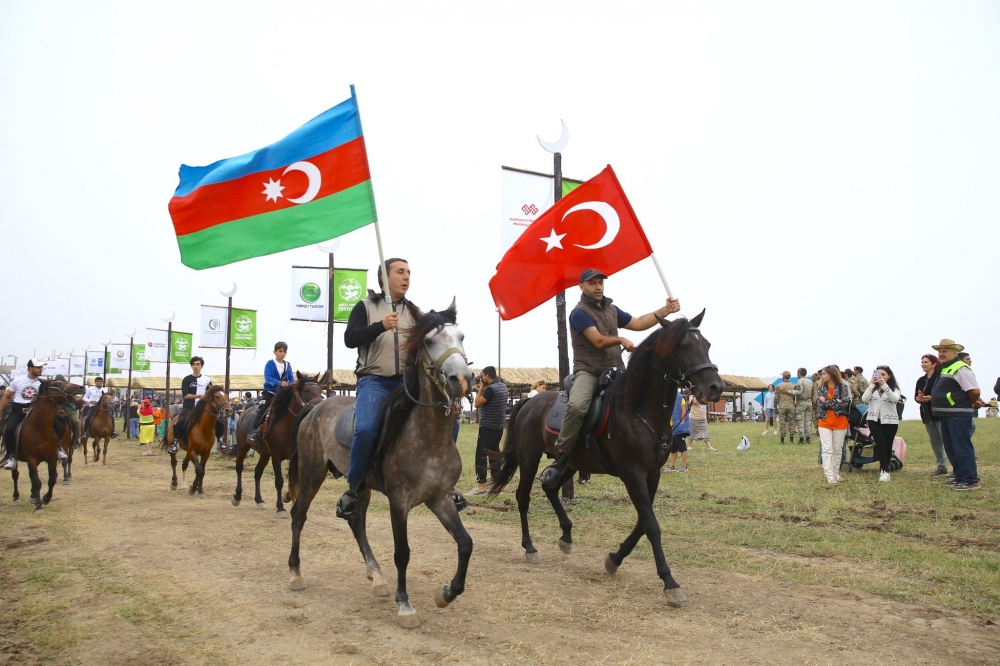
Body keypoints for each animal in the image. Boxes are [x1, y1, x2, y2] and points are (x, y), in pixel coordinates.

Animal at [9, 378, 80, 508]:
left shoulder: (53, 455)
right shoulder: (31, 458)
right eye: (57, 384)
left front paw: (46, 498)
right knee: (15, 474)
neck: (39, 428)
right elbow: (37, 481)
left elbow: (52, 478)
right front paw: (38, 505)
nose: (81, 388)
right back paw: (16, 497)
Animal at [231, 370, 322, 516]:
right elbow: (279, 481)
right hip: (243, 446)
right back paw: (237, 496)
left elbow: (295, 478)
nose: (319, 408)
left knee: (257, 472)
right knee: (239, 467)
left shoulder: (295, 456)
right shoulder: (276, 456)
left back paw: (259, 500)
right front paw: (280, 507)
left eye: (320, 389)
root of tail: (244, 413)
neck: (288, 425)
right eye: (306, 390)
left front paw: (288, 496)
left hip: (264, 453)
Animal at [288, 300, 474, 628]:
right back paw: (296, 574)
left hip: (360, 485)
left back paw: (377, 577)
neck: (428, 436)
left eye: (461, 337)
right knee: (299, 515)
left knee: (357, 523)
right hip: (311, 473)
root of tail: (315, 407)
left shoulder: (440, 499)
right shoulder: (399, 503)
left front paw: (446, 593)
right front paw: (406, 605)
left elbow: (465, 544)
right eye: (429, 341)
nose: (462, 380)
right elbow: (403, 553)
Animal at [488, 308, 724, 604]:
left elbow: (643, 522)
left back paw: (566, 536)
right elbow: (651, 525)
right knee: (523, 497)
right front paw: (669, 582)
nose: (716, 387)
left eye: (707, 345)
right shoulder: (632, 474)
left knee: (551, 487)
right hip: (529, 458)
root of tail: (529, 401)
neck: (638, 410)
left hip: (572, 462)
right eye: (684, 346)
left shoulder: (652, 474)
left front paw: (614, 558)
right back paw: (530, 547)